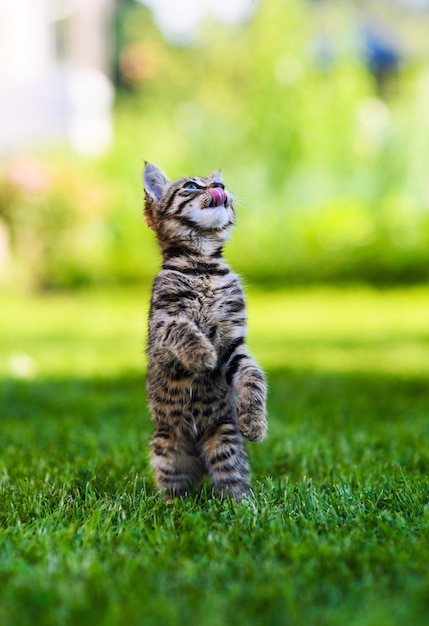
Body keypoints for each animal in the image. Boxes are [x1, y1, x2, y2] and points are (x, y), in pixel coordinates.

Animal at [142, 163, 266, 500]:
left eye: (219, 183)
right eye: (191, 186)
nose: (219, 187)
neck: (203, 267)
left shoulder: (233, 341)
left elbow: (252, 374)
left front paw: (254, 421)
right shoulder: (160, 332)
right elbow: (182, 328)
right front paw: (202, 355)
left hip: (225, 441)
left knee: (231, 482)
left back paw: (245, 505)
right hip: (165, 448)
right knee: (175, 488)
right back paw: (171, 505)